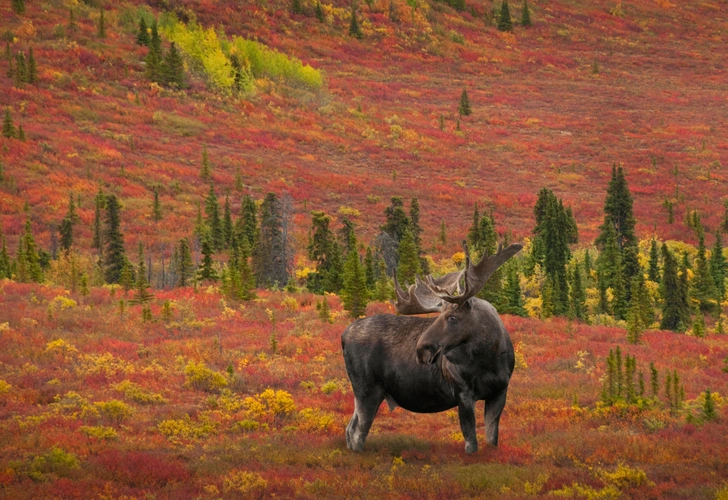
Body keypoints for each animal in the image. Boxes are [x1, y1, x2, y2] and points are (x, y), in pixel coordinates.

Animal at [342, 241, 524, 454]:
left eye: (452, 317)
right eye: (438, 316)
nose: (421, 349)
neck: (490, 358)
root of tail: (344, 336)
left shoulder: (499, 392)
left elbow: (491, 439)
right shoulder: (463, 393)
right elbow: (471, 442)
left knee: (350, 428)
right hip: (367, 390)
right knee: (358, 432)